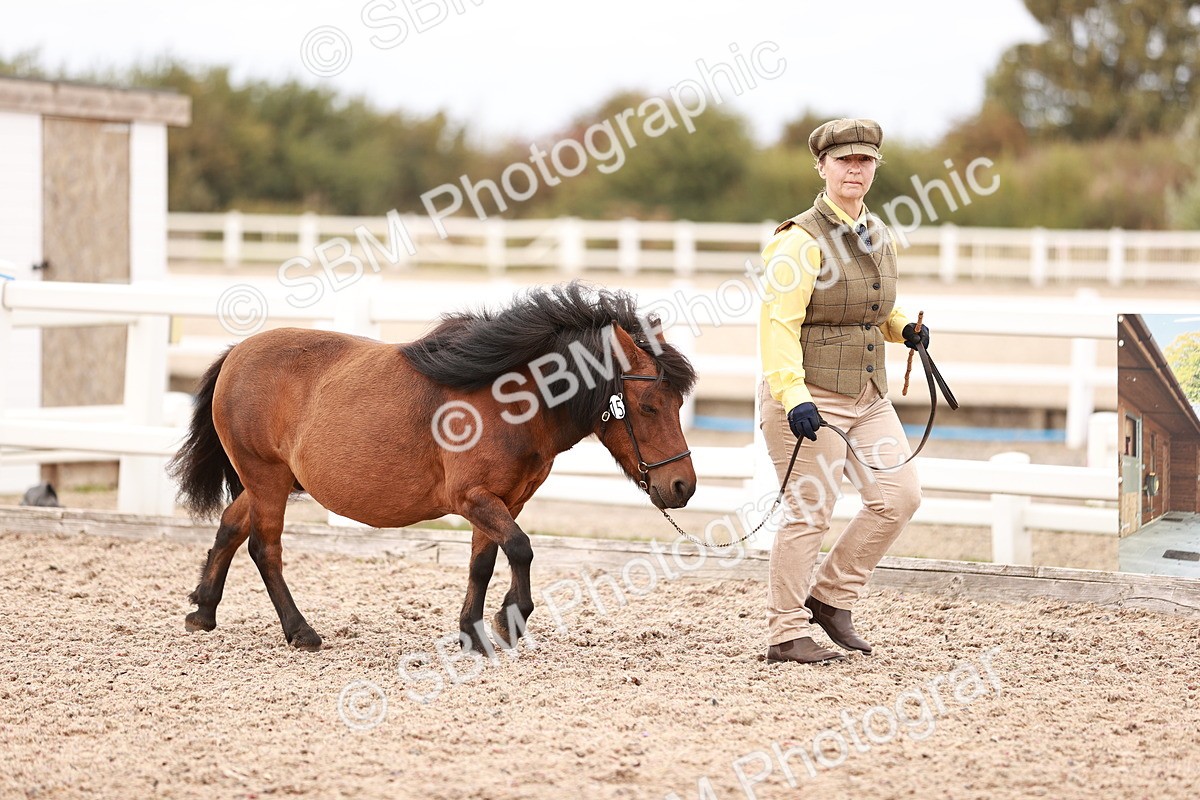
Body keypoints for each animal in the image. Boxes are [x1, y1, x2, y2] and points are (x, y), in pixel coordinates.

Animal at [167, 282, 698, 651]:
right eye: (649, 405)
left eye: (678, 402)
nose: (682, 485)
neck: (509, 401)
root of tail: (237, 353)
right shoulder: (474, 498)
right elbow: (521, 550)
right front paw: (509, 621)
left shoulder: (503, 501)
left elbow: (484, 562)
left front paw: (473, 632)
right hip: (267, 478)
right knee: (265, 549)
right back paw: (300, 631)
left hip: (267, 482)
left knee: (231, 526)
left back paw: (204, 611)